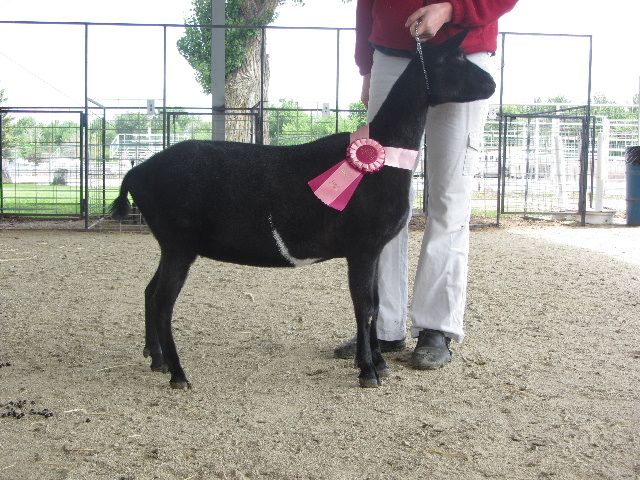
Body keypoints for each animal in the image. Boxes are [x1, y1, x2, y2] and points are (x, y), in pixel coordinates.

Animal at [110, 31, 496, 389]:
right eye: (454, 58)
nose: (492, 84)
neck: (385, 152)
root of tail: (136, 172)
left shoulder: (372, 249)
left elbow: (373, 302)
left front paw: (377, 362)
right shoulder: (362, 246)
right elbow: (365, 305)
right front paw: (368, 371)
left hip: (171, 245)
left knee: (150, 292)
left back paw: (157, 359)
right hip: (178, 243)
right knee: (163, 302)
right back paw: (178, 374)